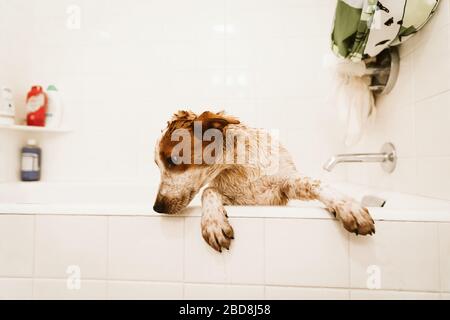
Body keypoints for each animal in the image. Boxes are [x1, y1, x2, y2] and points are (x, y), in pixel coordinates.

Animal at [153, 110, 374, 252]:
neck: (241, 166)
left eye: (173, 160)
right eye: (157, 164)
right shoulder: (238, 199)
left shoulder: (286, 185)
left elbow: (314, 182)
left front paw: (349, 207)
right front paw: (213, 222)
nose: (156, 207)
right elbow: (209, 191)